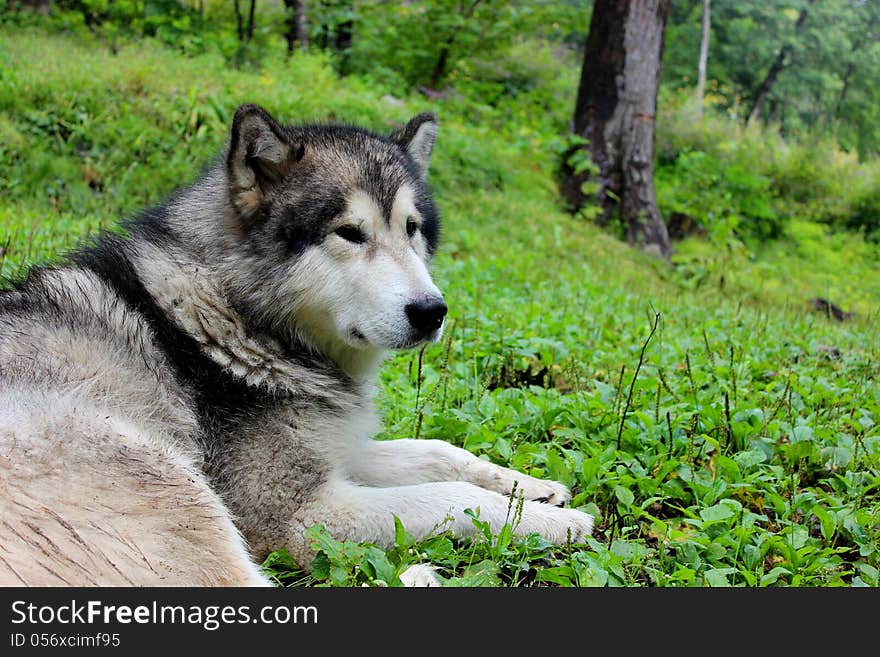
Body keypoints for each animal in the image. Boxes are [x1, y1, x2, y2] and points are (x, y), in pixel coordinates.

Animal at [0, 104, 596, 584]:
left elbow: (440, 452)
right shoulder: (302, 514)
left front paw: (529, 486)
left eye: (412, 228)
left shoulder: (340, 451)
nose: (432, 312)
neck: (242, 319)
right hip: (170, 482)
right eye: (349, 233)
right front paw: (553, 522)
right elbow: (451, 496)